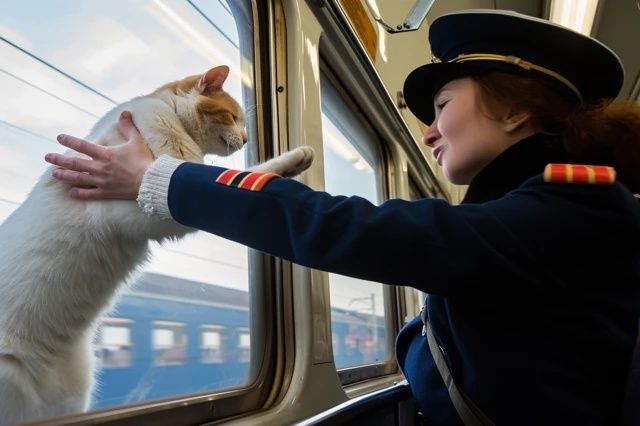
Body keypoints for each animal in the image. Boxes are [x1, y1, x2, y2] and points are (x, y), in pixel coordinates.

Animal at [0, 65, 312, 424]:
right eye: (233, 117)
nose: (246, 139)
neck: (170, 118)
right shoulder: (145, 210)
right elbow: (235, 174)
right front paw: (291, 159)